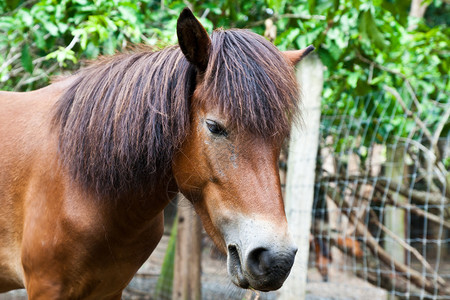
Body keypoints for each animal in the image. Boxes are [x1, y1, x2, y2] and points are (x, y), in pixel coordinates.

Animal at [0, 8, 314, 298]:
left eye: (282, 136)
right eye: (214, 126)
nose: (276, 259)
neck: (81, 181)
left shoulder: (110, 289)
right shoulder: (47, 287)